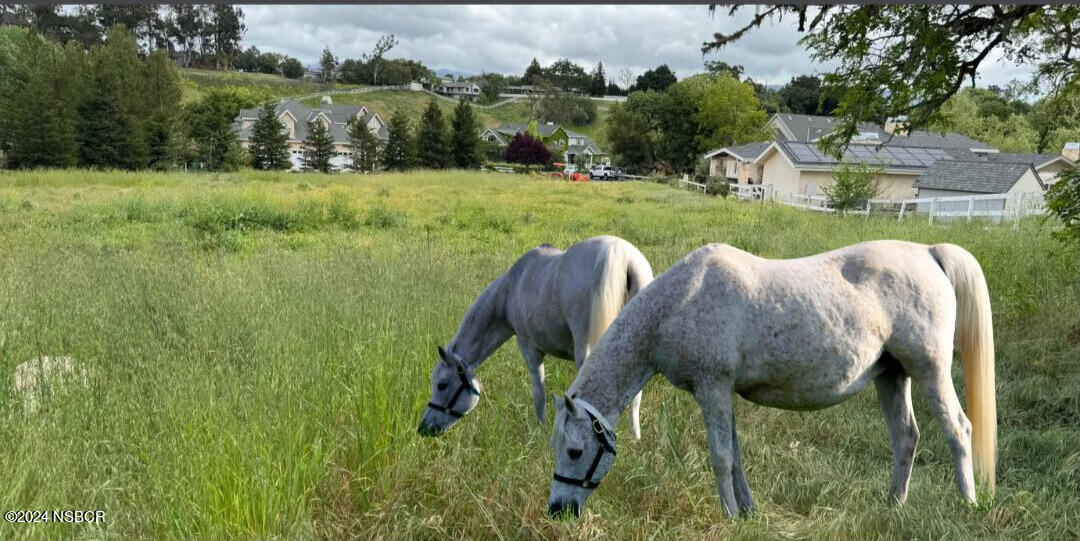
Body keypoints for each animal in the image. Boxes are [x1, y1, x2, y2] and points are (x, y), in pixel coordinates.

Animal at [418, 235, 654, 439]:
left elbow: (539, 394)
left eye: (441, 385)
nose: (424, 428)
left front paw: (539, 431)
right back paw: (635, 438)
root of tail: (620, 253)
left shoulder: (530, 349)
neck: (510, 290)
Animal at [547, 240, 996, 518]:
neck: (680, 303)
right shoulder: (722, 394)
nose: (557, 510)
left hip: (930, 370)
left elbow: (721, 457)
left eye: (574, 451)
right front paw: (747, 511)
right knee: (905, 437)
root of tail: (929, 253)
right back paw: (893, 505)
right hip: (891, 375)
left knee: (959, 429)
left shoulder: (712, 389)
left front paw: (728, 515)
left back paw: (968, 502)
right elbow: (735, 454)